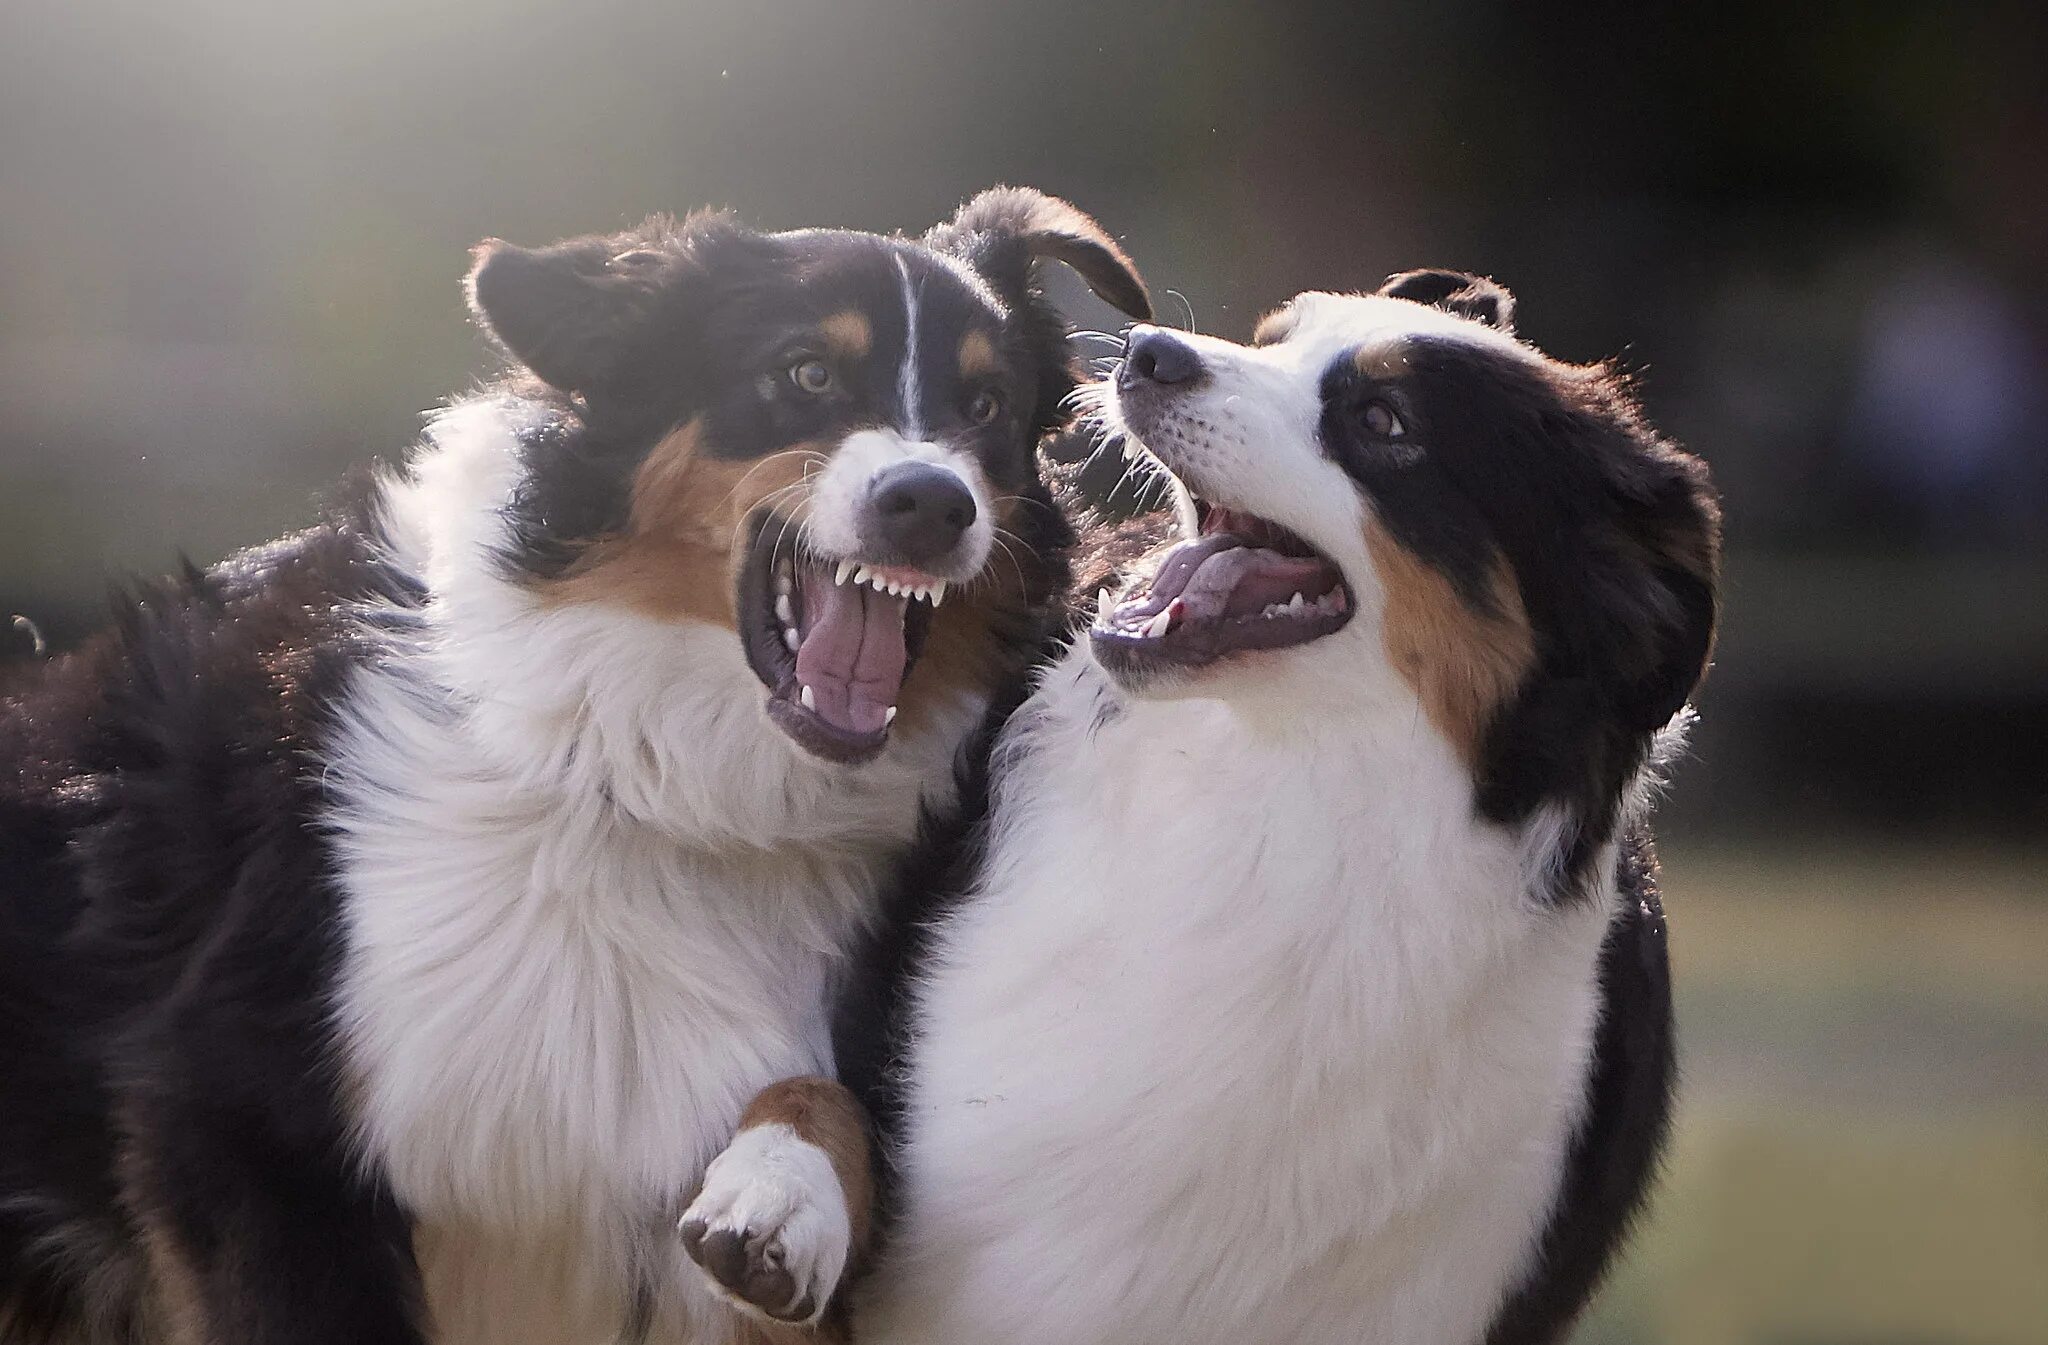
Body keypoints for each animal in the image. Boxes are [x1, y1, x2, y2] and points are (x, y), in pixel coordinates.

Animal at [0, 188, 1155, 1342]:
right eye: (805, 374)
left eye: (986, 404)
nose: (932, 503)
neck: (660, 785)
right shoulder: (243, 1114)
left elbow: (828, 1105)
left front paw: (780, 1193)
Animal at [684, 272, 1712, 1342]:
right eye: (1274, 338)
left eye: (1384, 422)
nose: (1148, 352)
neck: (1269, 800)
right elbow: (816, 1088)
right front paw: (776, 1191)